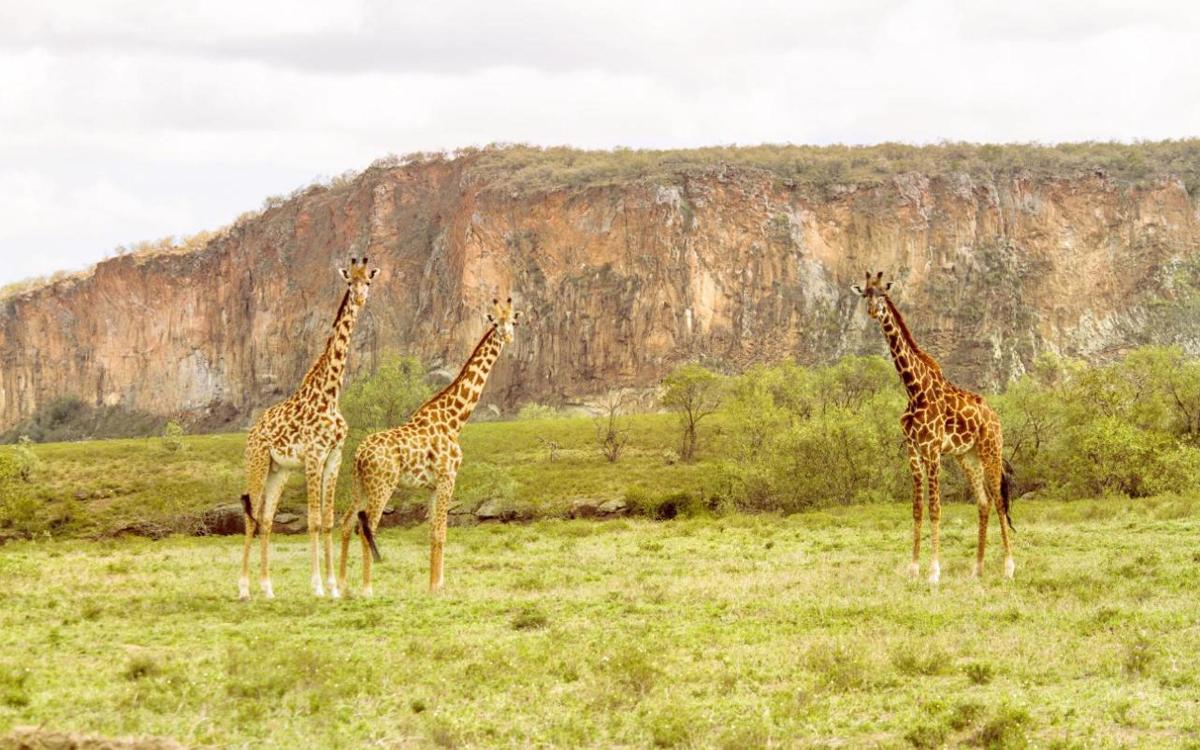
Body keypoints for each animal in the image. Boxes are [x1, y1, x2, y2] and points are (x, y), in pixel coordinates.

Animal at [236, 254, 376, 600]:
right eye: (349, 281)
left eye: (368, 280)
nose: (360, 298)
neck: (331, 393)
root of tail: (252, 431)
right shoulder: (313, 456)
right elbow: (312, 520)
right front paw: (317, 586)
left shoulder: (334, 457)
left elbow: (326, 520)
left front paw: (334, 587)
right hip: (257, 463)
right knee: (250, 517)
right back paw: (243, 588)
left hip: (279, 471)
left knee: (266, 519)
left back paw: (267, 588)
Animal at [340, 295, 523, 592]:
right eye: (495, 323)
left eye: (513, 322)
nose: (508, 337)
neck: (454, 419)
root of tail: (358, 455)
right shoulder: (448, 477)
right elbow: (441, 532)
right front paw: (438, 586)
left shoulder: (432, 486)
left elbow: (431, 532)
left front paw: (432, 584)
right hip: (382, 485)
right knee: (369, 527)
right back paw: (367, 588)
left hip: (360, 486)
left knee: (346, 523)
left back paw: (341, 584)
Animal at [854, 272, 1012, 583]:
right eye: (865, 293)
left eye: (883, 294)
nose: (872, 311)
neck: (915, 390)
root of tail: (995, 415)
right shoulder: (913, 451)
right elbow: (917, 509)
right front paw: (913, 568)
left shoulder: (933, 450)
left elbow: (936, 509)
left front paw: (934, 572)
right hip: (967, 456)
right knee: (984, 501)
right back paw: (977, 569)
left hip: (991, 450)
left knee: (999, 500)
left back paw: (1009, 568)